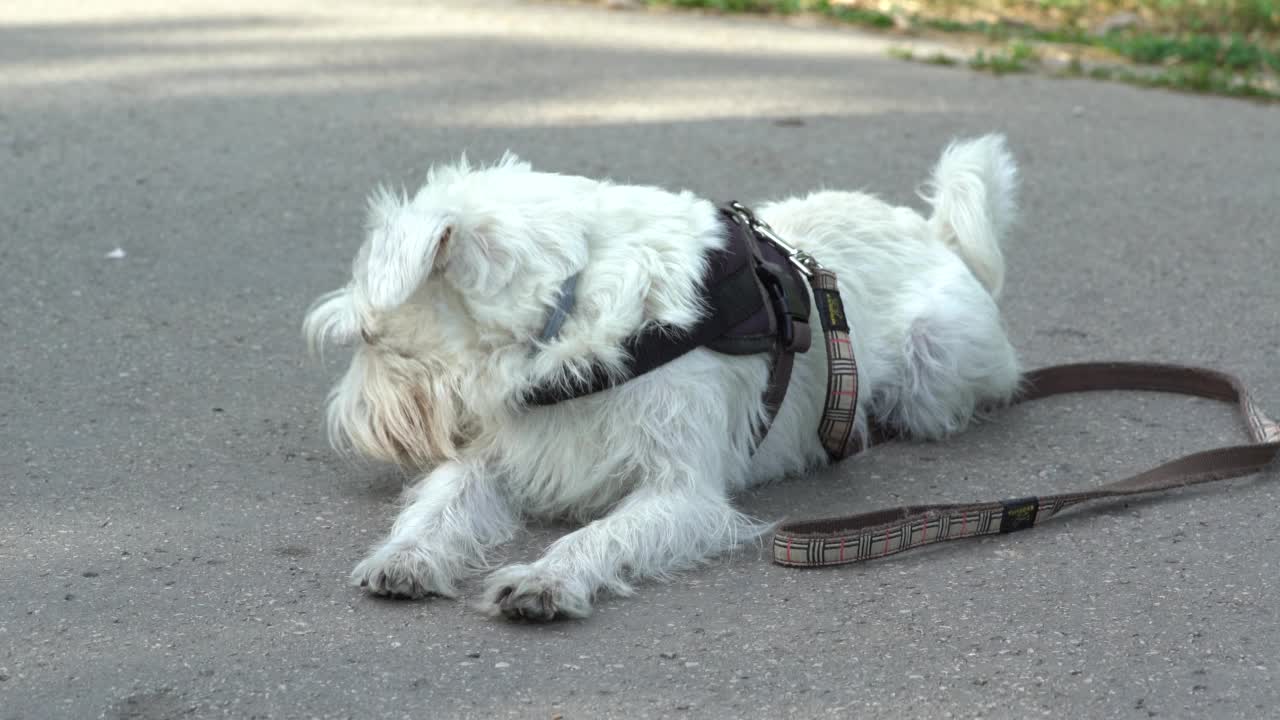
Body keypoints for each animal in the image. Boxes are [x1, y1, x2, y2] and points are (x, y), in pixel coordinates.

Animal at [299, 133, 1018, 617]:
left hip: (935, 362)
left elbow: (602, 533)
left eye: (369, 337)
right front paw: (406, 557)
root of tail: (932, 232)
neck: (566, 327)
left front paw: (546, 581)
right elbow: (440, 504)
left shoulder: (681, 491)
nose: (347, 430)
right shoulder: (499, 453)